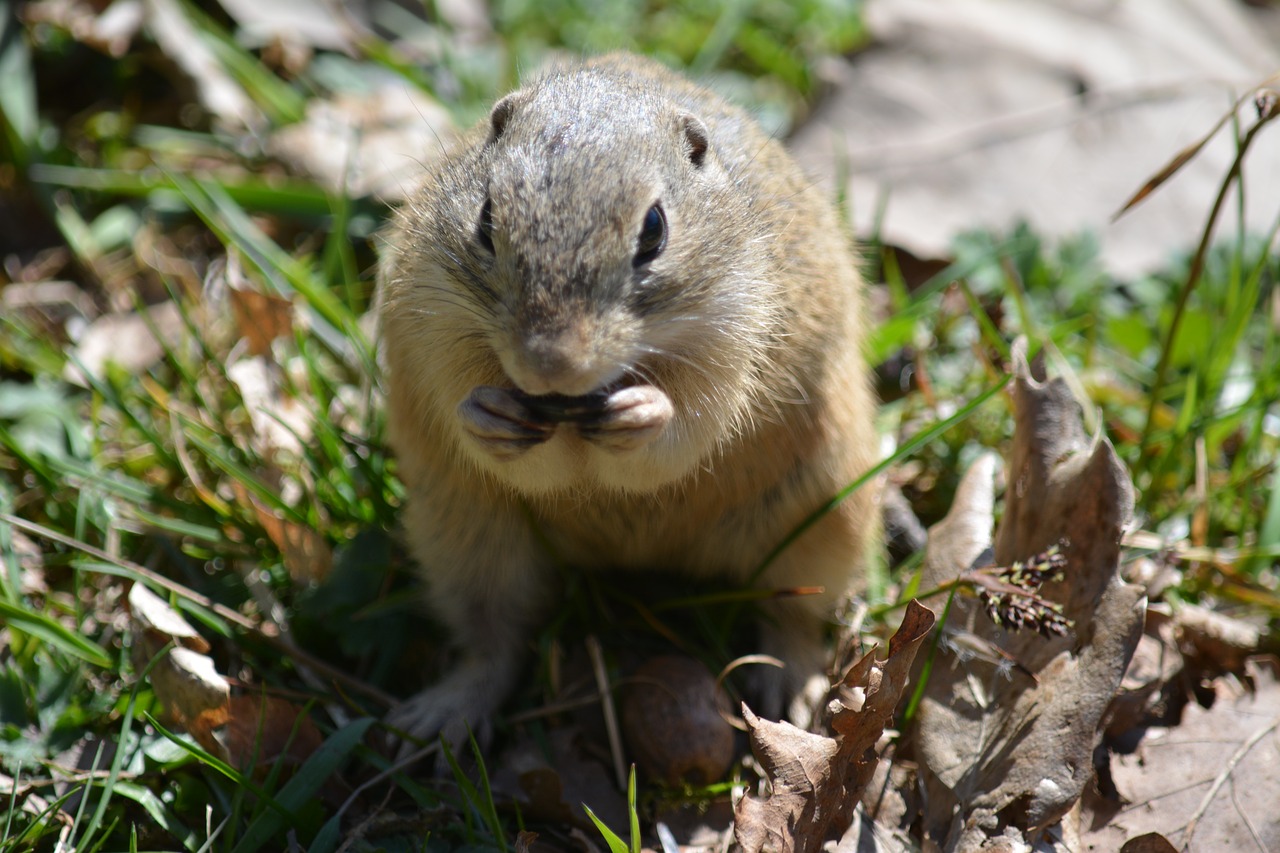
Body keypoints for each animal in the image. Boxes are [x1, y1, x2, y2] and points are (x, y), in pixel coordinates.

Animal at [376, 51, 880, 742]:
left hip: (818, 529)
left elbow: (683, 434)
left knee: (794, 619)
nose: (550, 365)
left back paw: (791, 691)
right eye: (485, 219)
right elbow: (495, 434)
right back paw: (441, 717)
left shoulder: (730, 344)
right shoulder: (434, 332)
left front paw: (644, 413)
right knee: (494, 644)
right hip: (468, 546)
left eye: (654, 229)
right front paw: (487, 416)